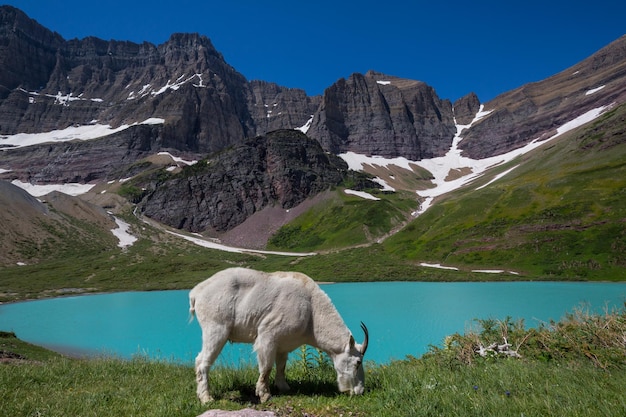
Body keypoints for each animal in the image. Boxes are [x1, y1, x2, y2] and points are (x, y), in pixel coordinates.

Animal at [188, 268, 368, 402]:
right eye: (358, 362)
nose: (359, 391)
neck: (312, 312)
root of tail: (196, 293)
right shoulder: (268, 335)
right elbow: (266, 367)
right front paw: (264, 395)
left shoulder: (283, 344)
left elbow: (281, 366)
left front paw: (284, 388)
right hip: (216, 328)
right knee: (203, 361)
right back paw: (206, 398)